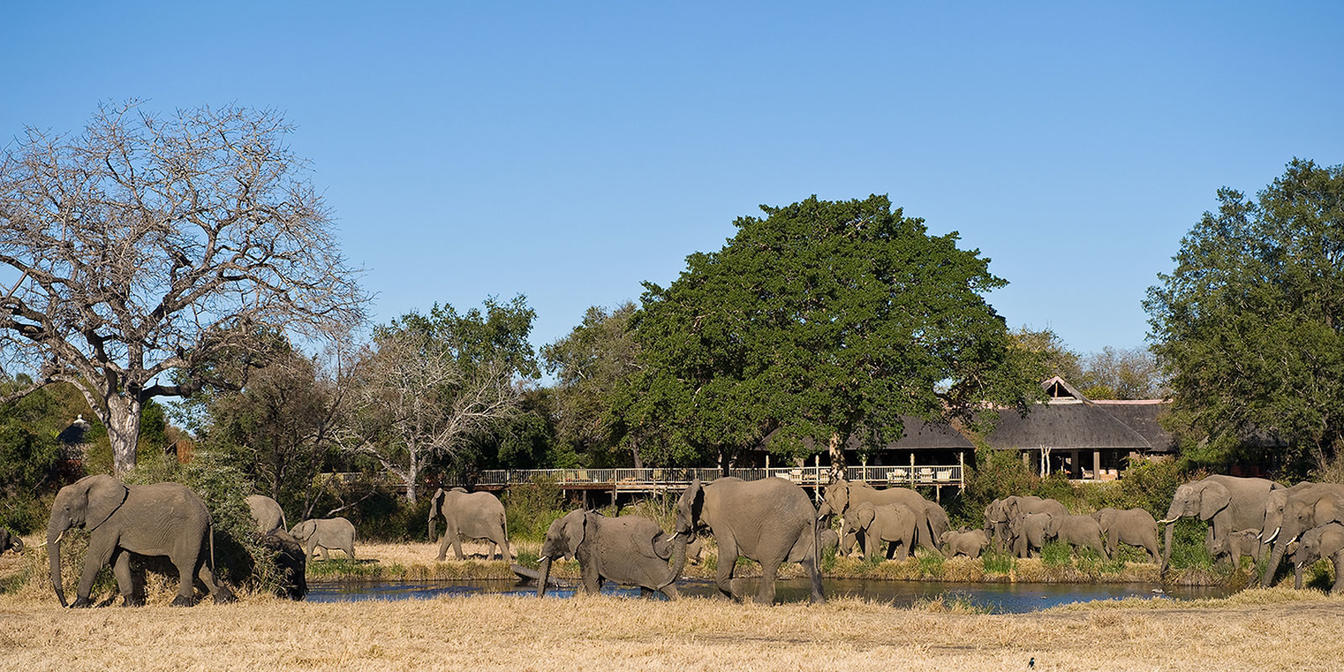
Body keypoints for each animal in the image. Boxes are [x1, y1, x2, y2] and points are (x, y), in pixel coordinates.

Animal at [44, 473, 231, 610]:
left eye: (67, 508)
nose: (64, 604)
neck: (84, 486)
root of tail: (205, 509)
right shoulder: (114, 527)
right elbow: (117, 560)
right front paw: (129, 604)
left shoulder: (108, 522)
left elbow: (98, 559)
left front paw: (78, 604)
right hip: (197, 530)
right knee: (202, 566)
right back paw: (225, 600)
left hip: (189, 527)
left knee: (184, 563)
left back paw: (179, 603)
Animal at [534, 508, 688, 599]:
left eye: (549, 539)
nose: (540, 598)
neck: (568, 519)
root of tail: (661, 536)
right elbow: (595, 579)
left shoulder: (587, 546)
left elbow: (589, 576)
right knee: (647, 589)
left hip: (652, 561)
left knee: (667, 586)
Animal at [677, 478, 822, 604]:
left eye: (678, 511)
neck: (705, 489)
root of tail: (809, 510)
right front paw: (723, 601)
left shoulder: (721, 523)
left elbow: (729, 555)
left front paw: (736, 590)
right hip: (809, 531)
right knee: (810, 564)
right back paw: (816, 603)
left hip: (780, 529)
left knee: (768, 561)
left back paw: (760, 602)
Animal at [817, 481, 946, 559]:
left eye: (825, 500)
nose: (847, 551)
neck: (847, 486)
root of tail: (924, 503)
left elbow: (857, 533)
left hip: (917, 518)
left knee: (923, 540)